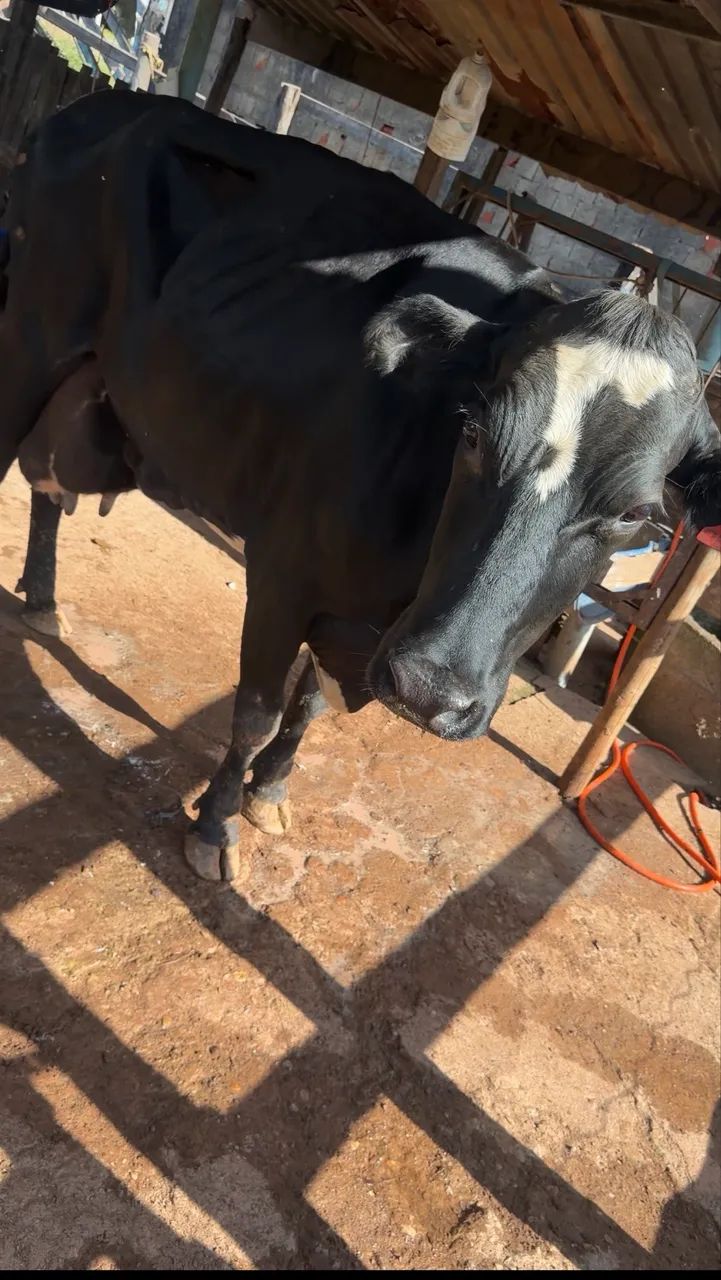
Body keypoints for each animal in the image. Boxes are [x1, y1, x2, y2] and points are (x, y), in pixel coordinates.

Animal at [1, 91, 718, 881]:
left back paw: (42, 598)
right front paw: (217, 825)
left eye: (636, 515)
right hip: (30, 337)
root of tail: (100, 103)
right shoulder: (285, 573)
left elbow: (308, 707)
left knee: (50, 484)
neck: (401, 578)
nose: (429, 690)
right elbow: (256, 712)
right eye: (473, 432)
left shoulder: (360, 623)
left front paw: (269, 794)